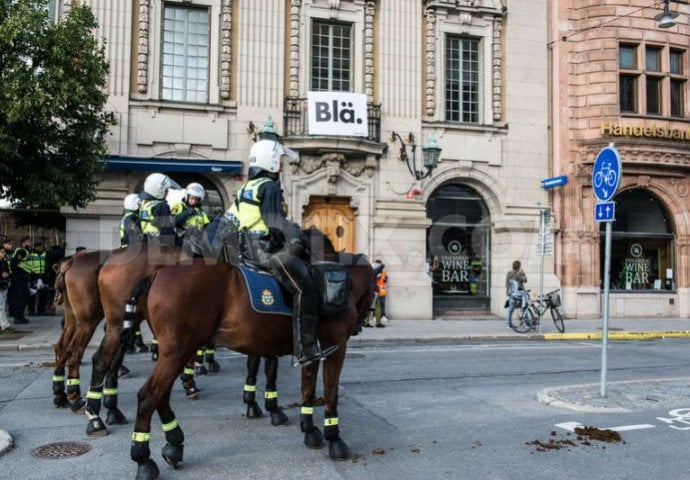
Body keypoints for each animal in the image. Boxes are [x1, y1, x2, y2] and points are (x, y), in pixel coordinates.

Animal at [128, 239, 370, 476]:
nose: (361, 325)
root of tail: (157, 274)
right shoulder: (335, 345)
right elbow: (330, 393)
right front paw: (334, 438)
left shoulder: (309, 348)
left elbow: (307, 388)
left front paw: (309, 430)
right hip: (178, 351)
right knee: (149, 395)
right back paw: (144, 459)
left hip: (178, 352)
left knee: (162, 395)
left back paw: (174, 444)